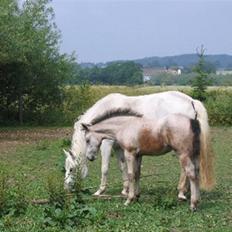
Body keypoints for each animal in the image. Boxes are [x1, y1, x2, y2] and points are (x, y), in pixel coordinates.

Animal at [63, 90, 212, 199]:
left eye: (71, 169)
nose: (66, 188)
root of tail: (191, 101)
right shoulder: (118, 147)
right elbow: (123, 167)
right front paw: (125, 190)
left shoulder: (107, 144)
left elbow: (104, 168)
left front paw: (100, 191)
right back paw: (186, 190)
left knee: (184, 168)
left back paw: (181, 192)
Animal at [81, 109, 214, 211]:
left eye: (87, 140)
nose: (90, 157)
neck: (125, 126)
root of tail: (192, 120)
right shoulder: (139, 155)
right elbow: (137, 174)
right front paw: (136, 196)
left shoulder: (129, 153)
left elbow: (130, 175)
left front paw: (129, 200)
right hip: (194, 154)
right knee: (197, 172)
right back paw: (197, 201)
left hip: (183, 154)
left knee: (191, 173)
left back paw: (193, 204)